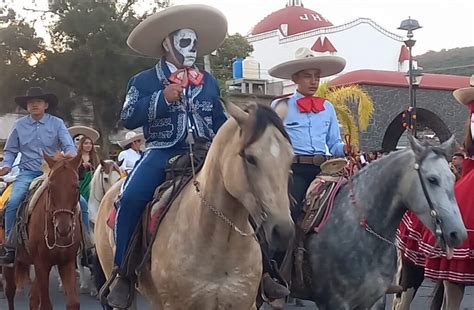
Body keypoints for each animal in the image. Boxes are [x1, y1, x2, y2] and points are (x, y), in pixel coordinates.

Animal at [3, 153, 83, 310]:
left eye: (76, 186)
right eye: (51, 186)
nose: (63, 228)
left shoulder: (66, 262)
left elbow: (73, 303)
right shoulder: (41, 264)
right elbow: (46, 304)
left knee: (33, 298)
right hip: (9, 264)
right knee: (10, 292)